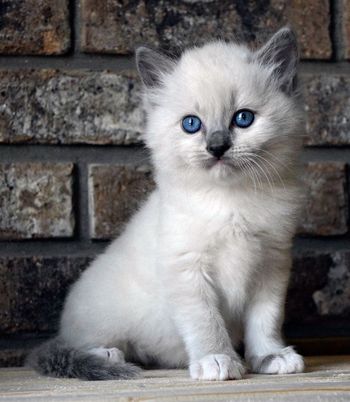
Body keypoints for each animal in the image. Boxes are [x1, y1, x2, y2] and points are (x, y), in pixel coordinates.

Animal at [27, 27, 304, 380]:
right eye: (191, 124)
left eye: (243, 118)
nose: (217, 147)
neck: (231, 200)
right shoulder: (187, 269)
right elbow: (206, 322)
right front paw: (217, 360)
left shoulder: (272, 264)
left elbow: (265, 320)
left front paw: (270, 357)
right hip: (101, 315)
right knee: (79, 345)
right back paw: (108, 355)